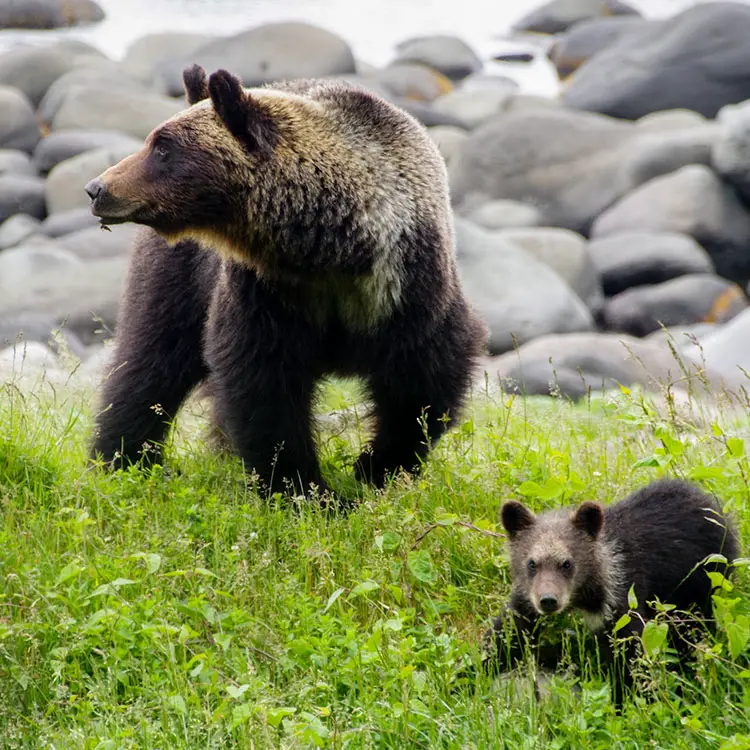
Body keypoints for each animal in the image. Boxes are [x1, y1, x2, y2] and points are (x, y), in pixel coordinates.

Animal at [86, 64, 488, 506]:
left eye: (162, 147)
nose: (97, 188)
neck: (331, 251)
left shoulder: (405, 290)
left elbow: (424, 382)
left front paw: (377, 468)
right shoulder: (267, 293)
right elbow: (263, 385)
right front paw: (306, 490)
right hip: (180, 271)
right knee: (151, 360)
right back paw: (125, 461)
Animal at [488, 482, 740, 712]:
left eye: (567, 563)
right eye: (532, 563)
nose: (548, 601)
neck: (586, 594)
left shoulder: (621, 602)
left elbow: (630, 655)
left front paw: (626, 701)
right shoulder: (525, 602)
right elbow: (509, 633)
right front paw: (483, 669)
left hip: (701, 583)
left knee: (691, 631)